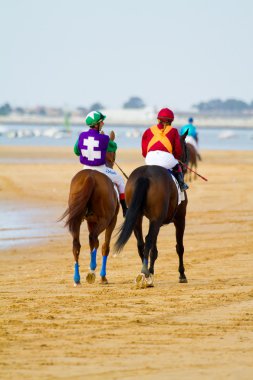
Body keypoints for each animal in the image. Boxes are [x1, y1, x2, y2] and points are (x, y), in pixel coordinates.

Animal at [114, 131, 188, 288]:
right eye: (185, 147)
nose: (184, 166)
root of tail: (145, 175)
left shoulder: (153, 220)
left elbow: (154, 249)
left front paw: (152, 272)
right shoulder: (180, 219)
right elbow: (179, 247)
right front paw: (182, 274)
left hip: (137, 217)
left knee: (141, 243)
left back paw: (145, 272)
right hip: (157, 219)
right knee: (148, 240)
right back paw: (145, 272)